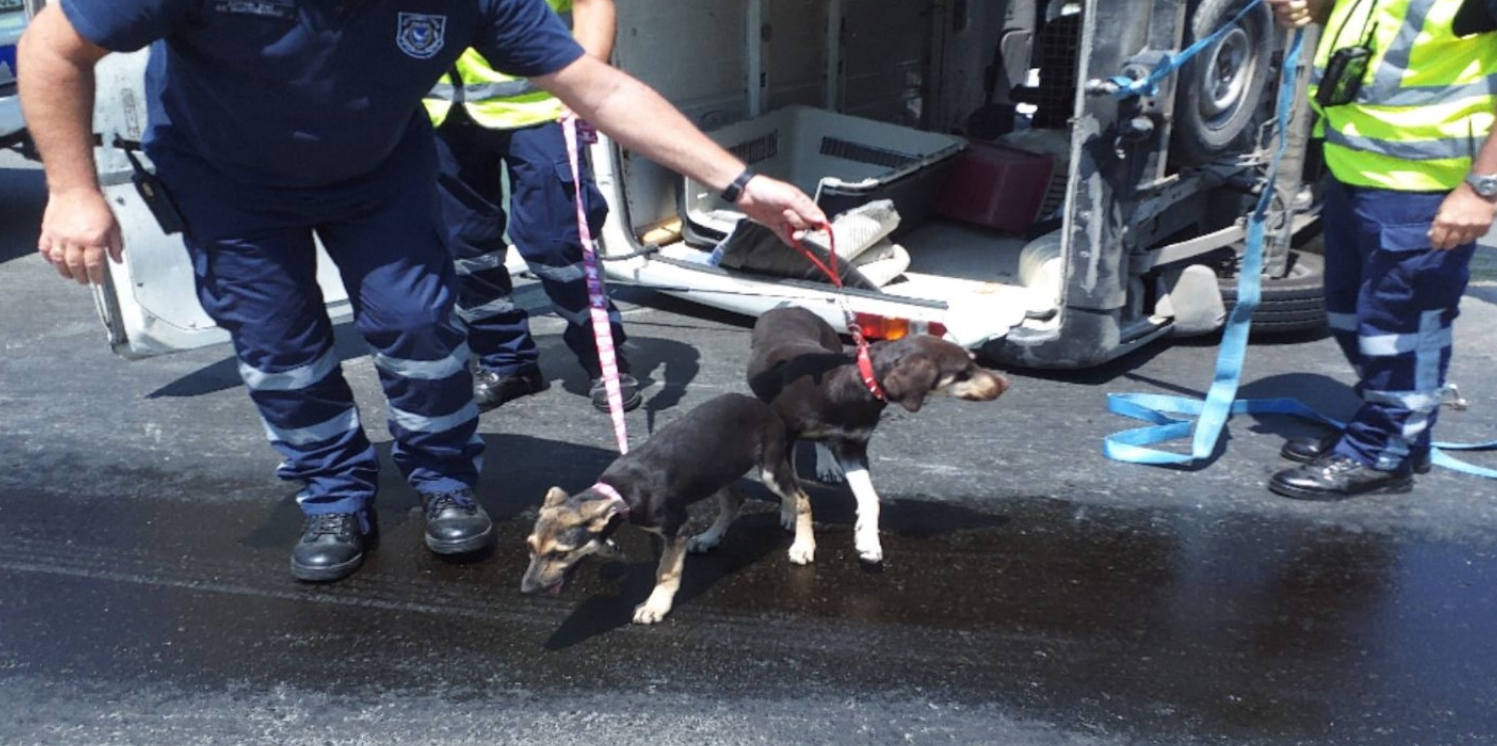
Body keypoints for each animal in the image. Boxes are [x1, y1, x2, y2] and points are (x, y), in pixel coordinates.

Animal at [745, 305, 1005, 563]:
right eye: (964, 371)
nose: (1005, 383)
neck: (853, 387)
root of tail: (792, 306)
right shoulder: (786, 438)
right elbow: (796, 490)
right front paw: (799, 535)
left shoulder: (853, 446)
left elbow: (870, 497)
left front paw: (868, 540)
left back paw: (827, 465)